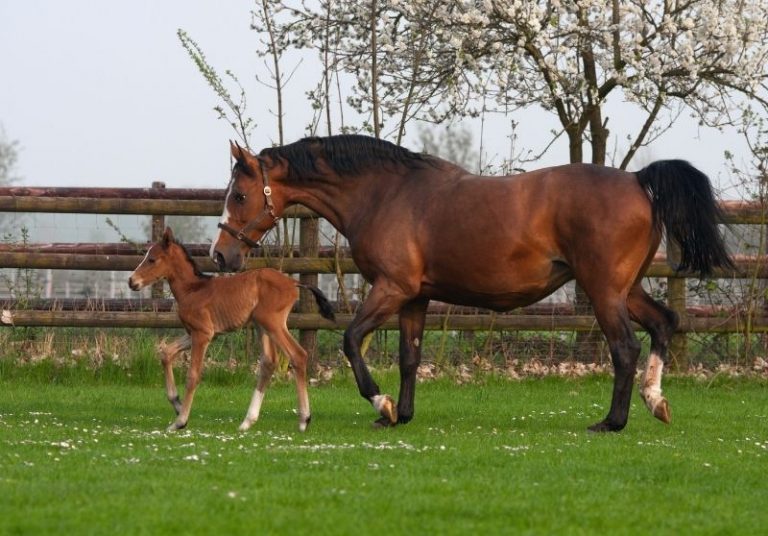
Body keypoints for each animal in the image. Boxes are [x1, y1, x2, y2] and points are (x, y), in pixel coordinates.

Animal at [128, 227, 335, 432]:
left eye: (152, 259)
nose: (132, 281)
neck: (193, 290)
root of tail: (293, 283)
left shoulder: (202, 334)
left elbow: (193, 375)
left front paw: (180, 421)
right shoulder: (198, 333)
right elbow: (166, 353)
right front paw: (177, 404)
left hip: (272, 323)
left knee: (298, 355)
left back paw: (304, 419)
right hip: (262, 325)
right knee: (269, 362)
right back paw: (247, 422)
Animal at [210, 134, 733, 432]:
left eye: (240, 196)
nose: (220, 254)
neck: (386, 194)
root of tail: (637, 180)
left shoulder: (392, 288)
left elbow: (351, 339)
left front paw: (381, 402)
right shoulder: (415, 298)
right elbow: (409, 357)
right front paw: (401, 415)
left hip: (603, 291)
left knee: (625, 348)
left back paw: (613, 422)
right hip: (625, 289)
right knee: (665, 323)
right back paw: (656, 401)